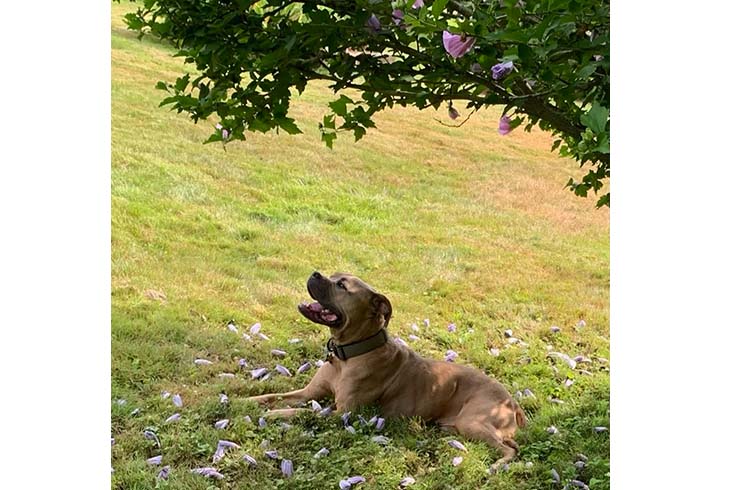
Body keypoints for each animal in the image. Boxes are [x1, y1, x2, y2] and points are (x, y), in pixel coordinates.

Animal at [250, 272, 528, 468]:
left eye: (342, 286)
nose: (315, 273)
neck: (347, 355)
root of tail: (513, 403)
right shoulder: (309, 393)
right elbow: (273, 396)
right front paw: (247, 402)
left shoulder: (342, 413)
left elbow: (301, 411)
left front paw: (274, 415)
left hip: (473, 422)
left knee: (511, 450)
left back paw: (498, 466)